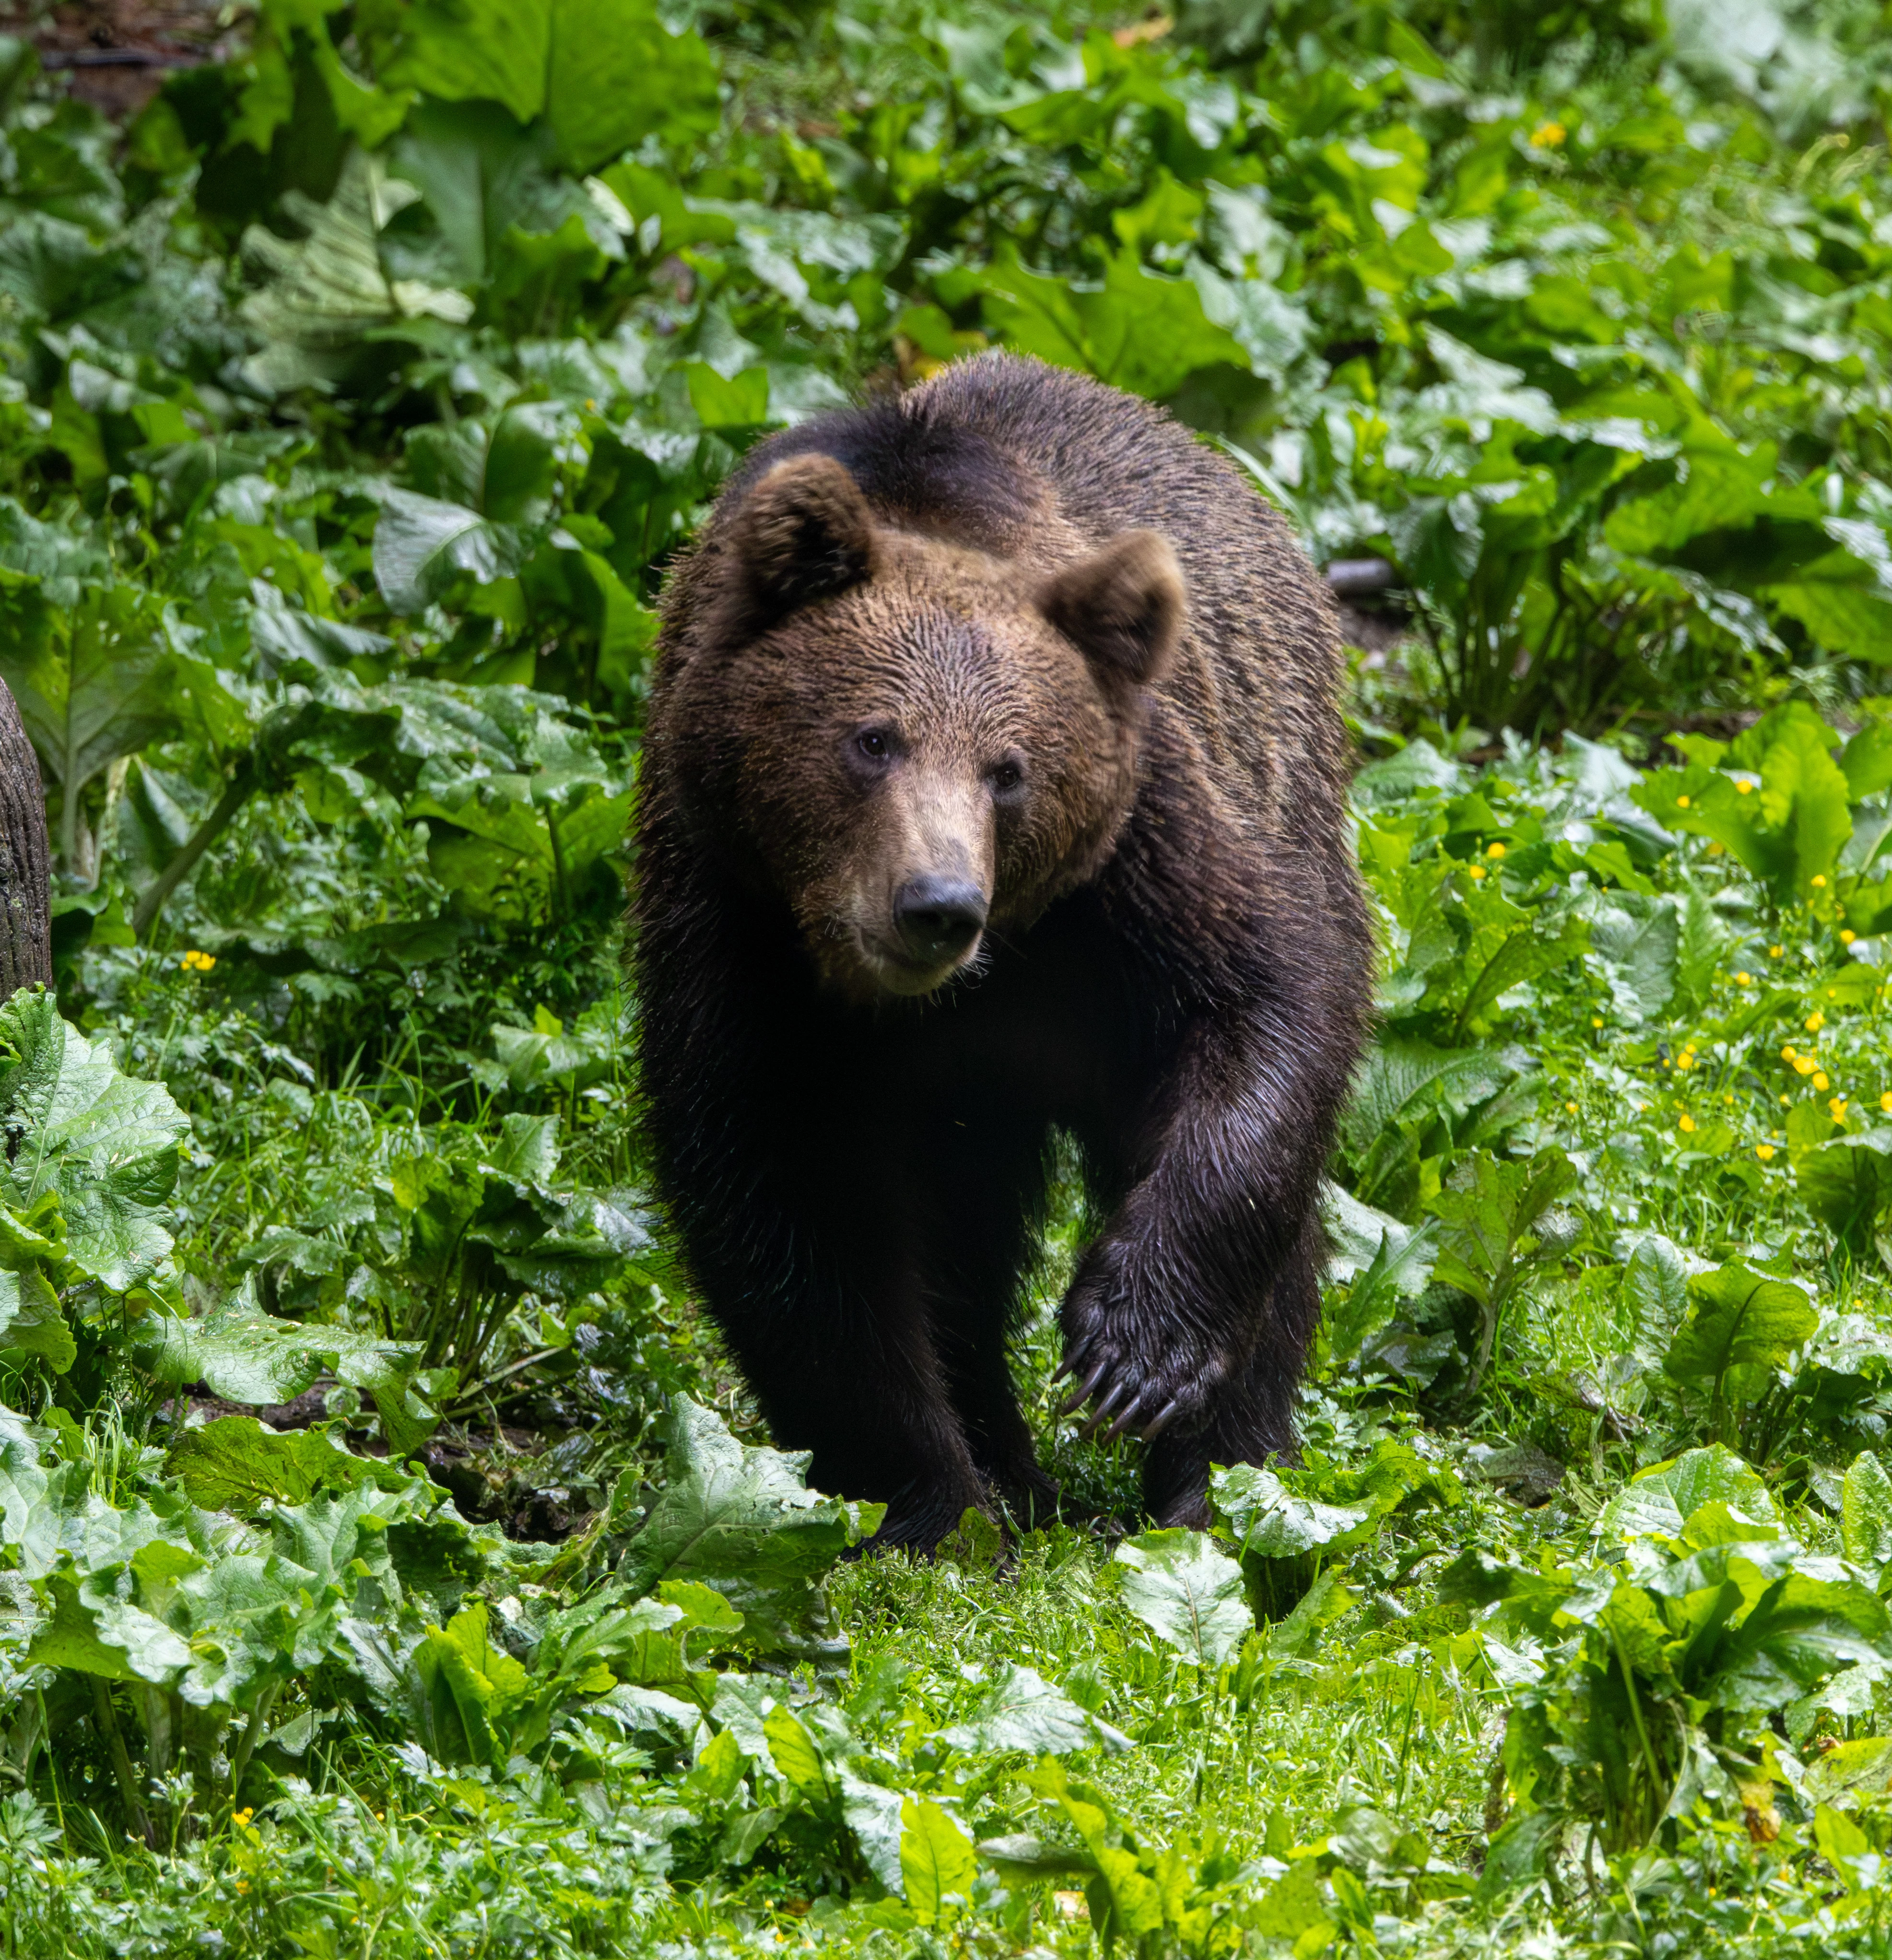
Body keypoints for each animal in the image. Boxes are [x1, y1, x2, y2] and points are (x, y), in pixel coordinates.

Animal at [633, 350, 1372, 1551]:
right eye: (870, 739)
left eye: (1008, 769)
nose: (935, 905)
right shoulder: (732, 918)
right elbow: (787, 1205)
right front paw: (935, 1506)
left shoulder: (1139, 846)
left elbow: (1262, 996)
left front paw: (1133, 1352)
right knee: (961, 1247)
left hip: (1283, 774)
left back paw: (1221, 1483)